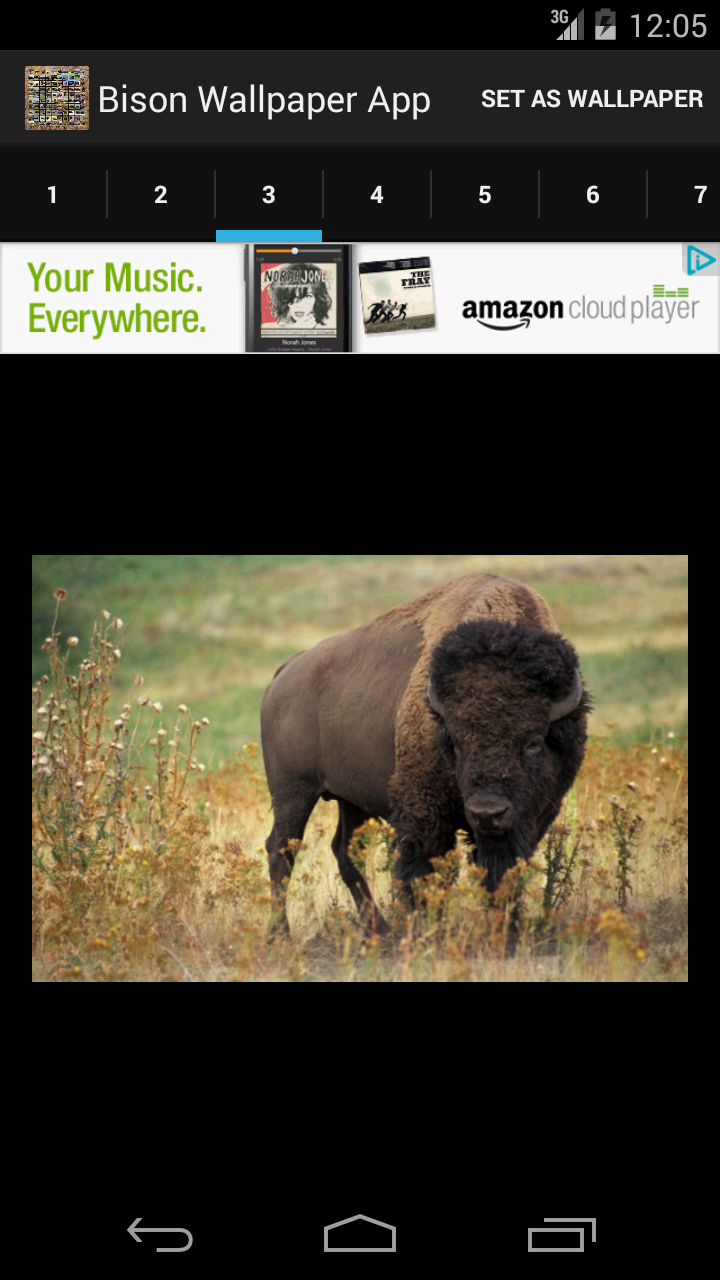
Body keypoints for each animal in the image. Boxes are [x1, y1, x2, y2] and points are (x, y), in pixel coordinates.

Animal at [260, 574, 590, 933]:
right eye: (455, 743)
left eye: (533, 742)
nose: (487, 812)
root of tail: (284, 673)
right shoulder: (425, 815)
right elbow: (425, 873)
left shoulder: (532, 817)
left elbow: (502, 871)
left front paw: (505, 928)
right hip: (293, 792)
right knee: (282, 850)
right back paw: (281, 934)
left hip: (351, 799)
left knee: (345, 851)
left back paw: (380, 931)